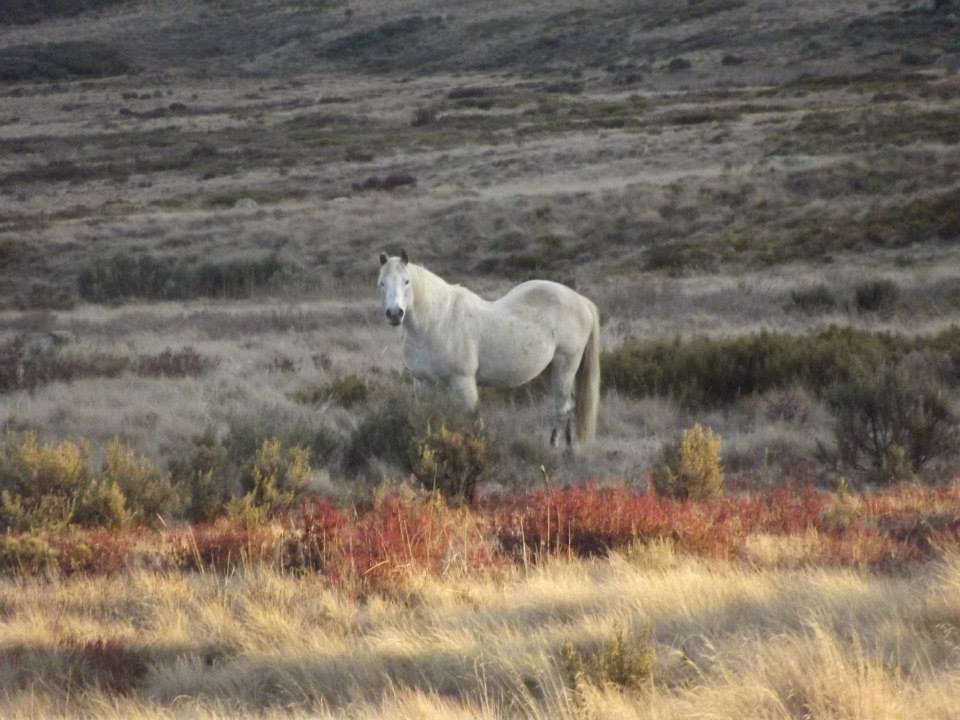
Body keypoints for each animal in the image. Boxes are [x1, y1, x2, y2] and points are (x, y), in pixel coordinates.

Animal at [376, 252, 596, 444]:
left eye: (406, 281)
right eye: (381, 283)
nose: (394, 314)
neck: (437, 321)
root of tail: (582, 301)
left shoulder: (463, 383)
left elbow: (471, 421)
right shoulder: (422, 383)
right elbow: (426, 418)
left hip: (565, 366)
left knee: (562, 409)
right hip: (551, 370)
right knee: (568, 407)